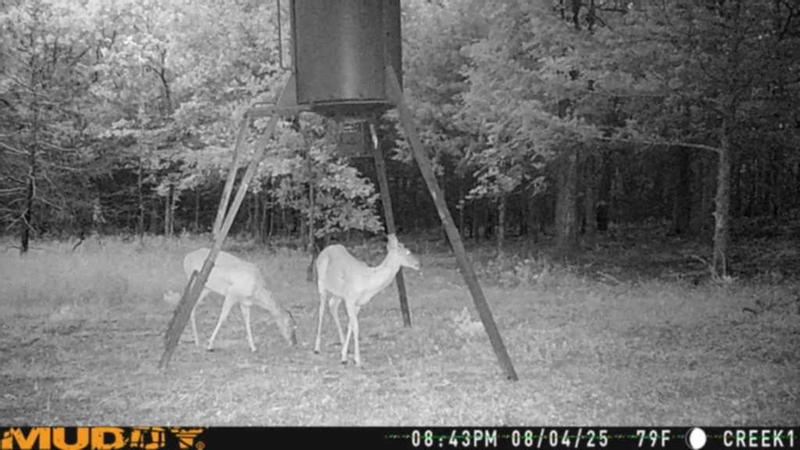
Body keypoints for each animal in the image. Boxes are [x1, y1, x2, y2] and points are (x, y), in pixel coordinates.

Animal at [313, 234, 420, 366]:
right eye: (408, 252)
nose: (418, 263)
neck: (368, 283)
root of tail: (324, 250)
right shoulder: (350, 299)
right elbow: (356, 326)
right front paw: (357, 360)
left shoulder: (357, 303)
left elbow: (351, 325)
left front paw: (344, 356)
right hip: (321, 283)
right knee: (321, 310)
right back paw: (317, 348)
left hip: (338, 293)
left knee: (332, 305)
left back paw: (342, 344)